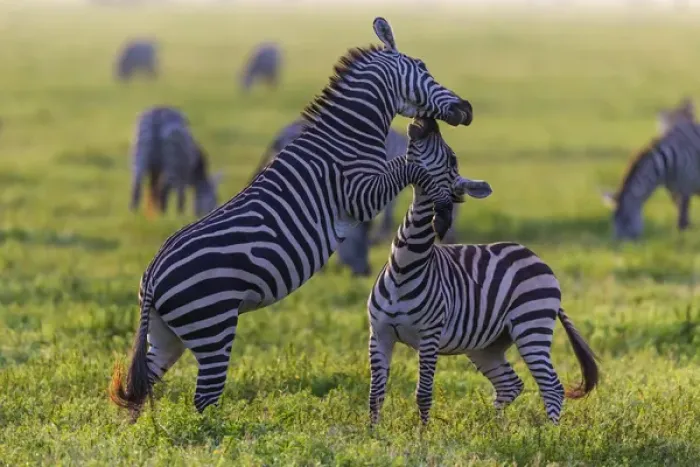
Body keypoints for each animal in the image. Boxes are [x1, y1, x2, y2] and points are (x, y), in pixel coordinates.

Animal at [110, 17, 474, 421]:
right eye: (424, 68)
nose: (467, 108)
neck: (347, 137)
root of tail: (151, 277)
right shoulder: (359, 195)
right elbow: (407, 167)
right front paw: (441, 198)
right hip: (212, 326)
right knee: (203, 398)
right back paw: (217, 432)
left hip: (167, 335)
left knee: (142, 386)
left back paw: (142, 433)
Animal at [368, 117, 599, 426]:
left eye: (452, 158)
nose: (427, 121)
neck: (405, 266)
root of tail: (536, 258)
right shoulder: (379, 333)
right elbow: (375, 394)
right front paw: (372, 432)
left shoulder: (429, 337)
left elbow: (423, 393)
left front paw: (422, 433)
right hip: (486, 345)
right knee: (510, 384)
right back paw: (496, 428)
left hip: (531, 325)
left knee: (551, 385)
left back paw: (551, 432)